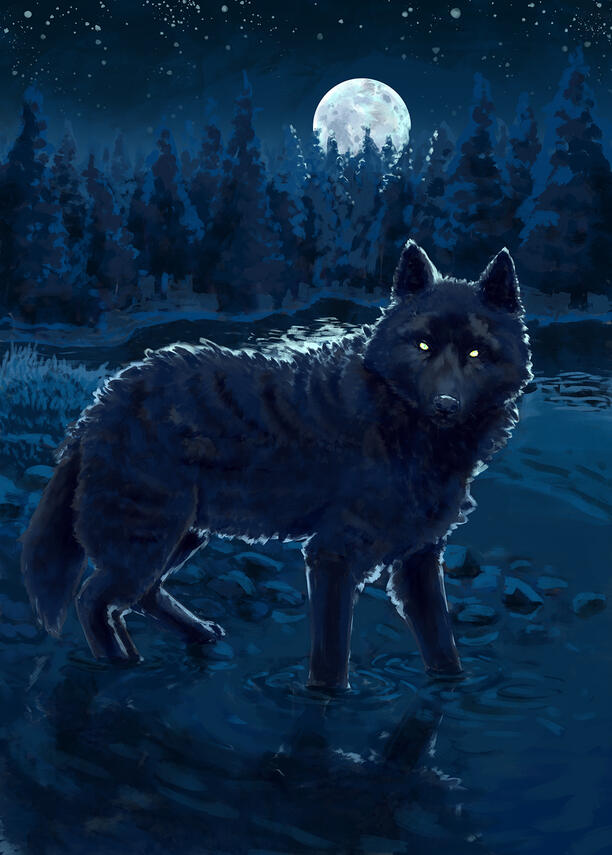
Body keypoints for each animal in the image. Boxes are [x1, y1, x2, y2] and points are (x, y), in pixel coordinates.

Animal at [20, 240, 531, 690]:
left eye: (475, 353)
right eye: (423, 346)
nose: (446, 405)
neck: (399, 421)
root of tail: (100, 403)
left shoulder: (419, 559)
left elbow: (443, 647)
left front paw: (453, 688)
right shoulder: (332, 556)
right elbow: (331, 661)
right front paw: (326, 699)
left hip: (182, 535)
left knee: (137, 596)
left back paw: (197, 636)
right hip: (148, 537)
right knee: (93, 599)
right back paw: (121, 663)